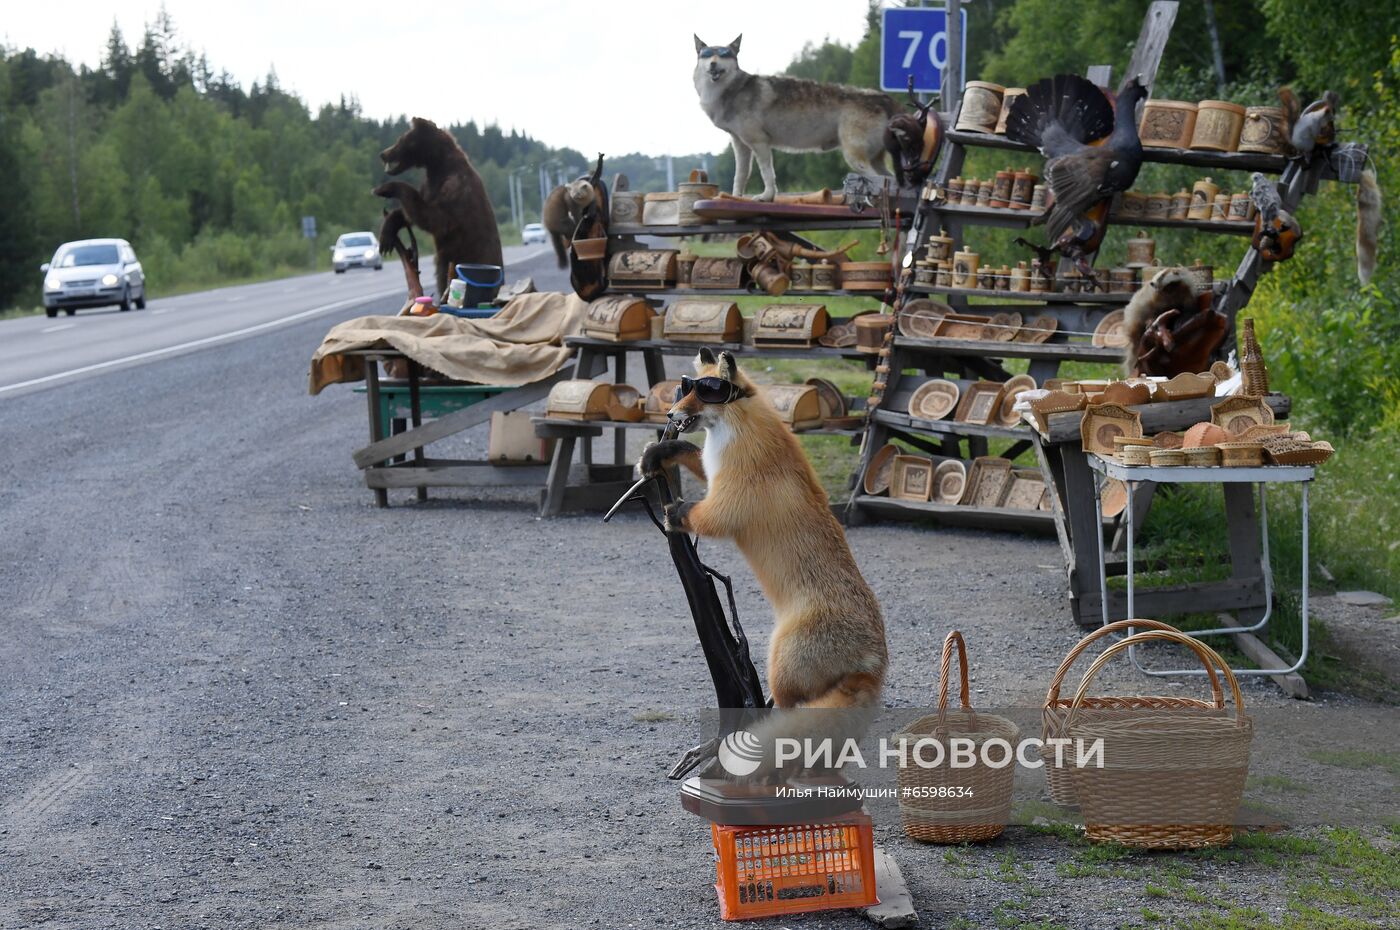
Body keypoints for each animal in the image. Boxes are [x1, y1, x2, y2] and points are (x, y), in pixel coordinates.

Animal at [638, 348, 884, 778]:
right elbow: (692, 457)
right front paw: (660, 453)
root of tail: (874, 664)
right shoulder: (715, 474)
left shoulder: (730, 501)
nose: (669, 413)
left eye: (708, 391)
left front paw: (673, 514)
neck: (738, 432)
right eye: (687, 386)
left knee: (787, 715)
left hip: (779, 665)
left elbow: (698, 516)